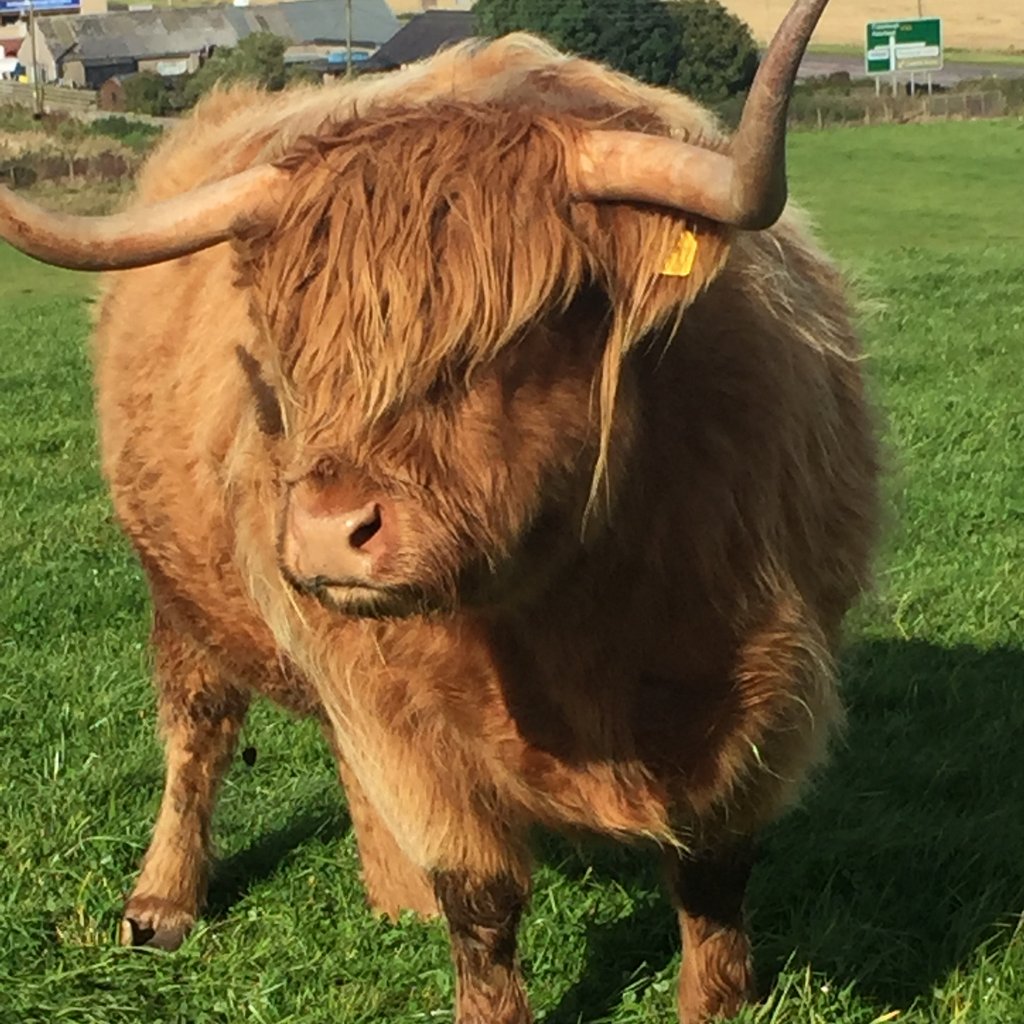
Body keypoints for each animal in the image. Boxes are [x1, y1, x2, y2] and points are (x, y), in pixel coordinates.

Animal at [0, 4, 880, 1019]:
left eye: (531, 325)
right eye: (290, 347)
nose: (328, 531)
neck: (580, 617)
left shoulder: (767, 689)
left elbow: (714, 886)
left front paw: (716, 1002)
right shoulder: (403, 716)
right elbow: (483, 899)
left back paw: (394, 897)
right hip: (182, 589)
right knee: (199, 730)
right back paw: (163, 902)